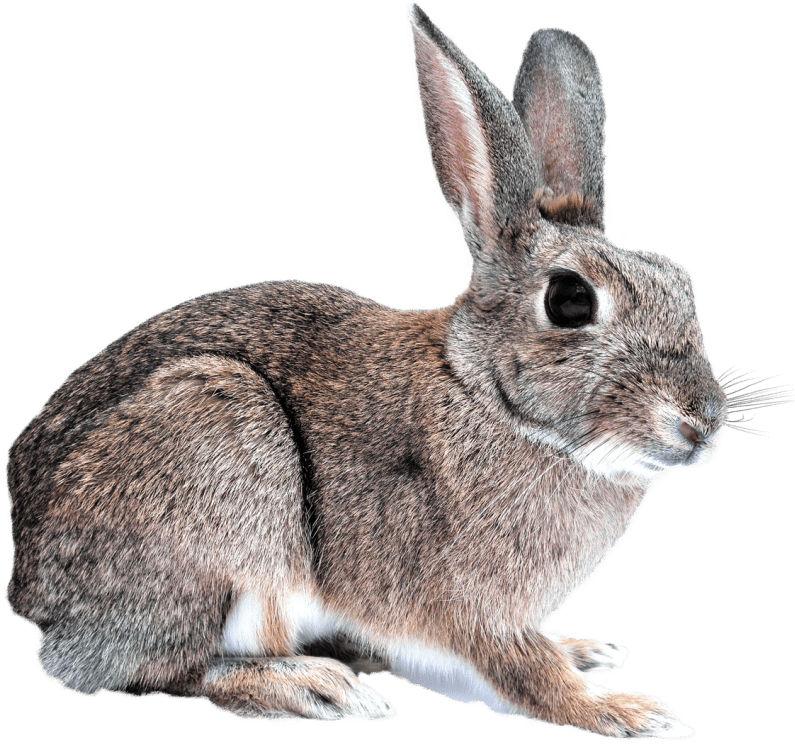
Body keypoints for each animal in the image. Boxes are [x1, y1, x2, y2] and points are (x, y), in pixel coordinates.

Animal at [3, 2, 729, 738]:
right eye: (570, 301)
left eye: (682, 282)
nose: (702, 424)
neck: (487, 399)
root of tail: (31, 591)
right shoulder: (475, 608)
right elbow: (528, 673)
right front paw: (626, 709)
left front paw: (585, 651)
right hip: (216, 452)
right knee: (157, 668)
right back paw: (312, 687)